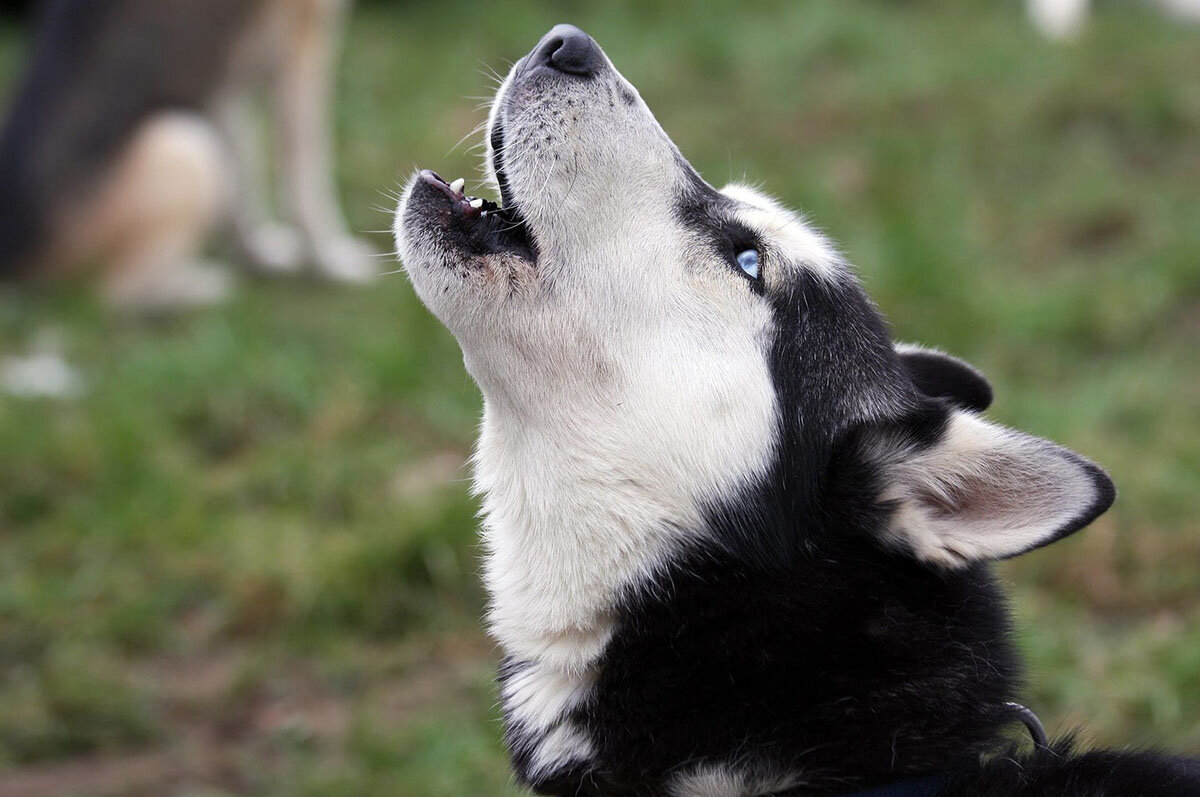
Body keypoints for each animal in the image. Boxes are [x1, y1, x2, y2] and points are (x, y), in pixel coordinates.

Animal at [0, 0, 372, 309]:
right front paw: (330, 264)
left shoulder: (233, 75)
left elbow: (243, 175)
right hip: (185, 145)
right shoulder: (302, 42)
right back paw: (204, 288)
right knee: (115, 295)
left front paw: (257, 256)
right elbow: (305, 175)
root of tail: (13, 257)